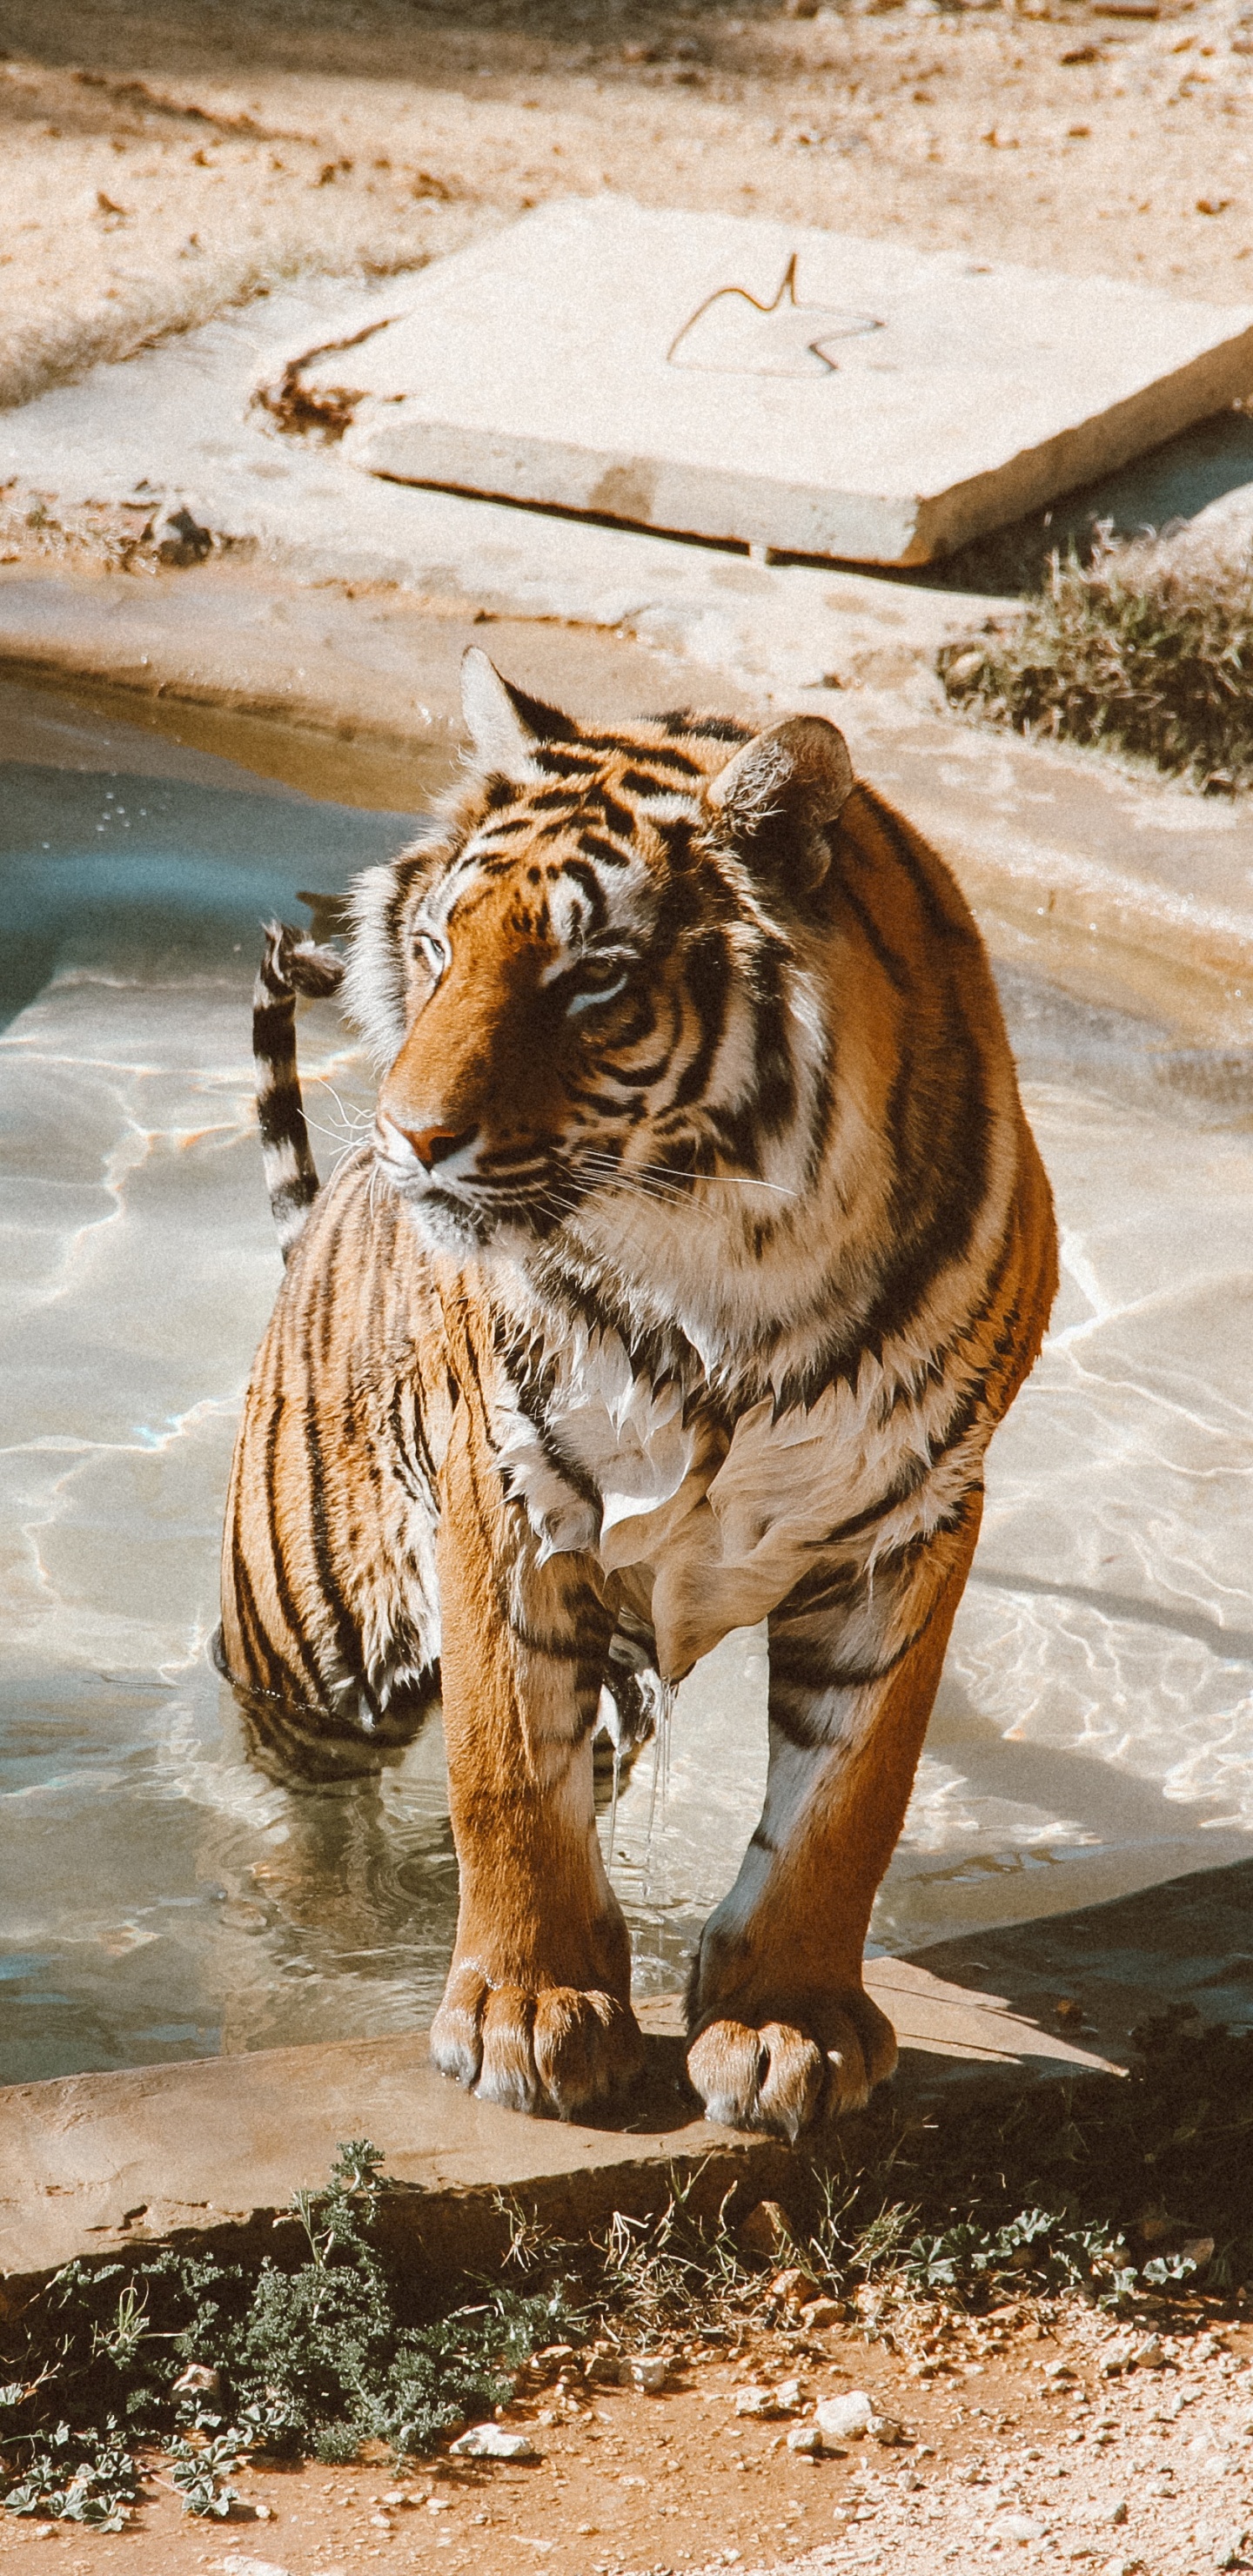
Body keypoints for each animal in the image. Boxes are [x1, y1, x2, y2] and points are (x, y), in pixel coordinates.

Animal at [216, 647, 1058, 2139]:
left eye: (590, 979)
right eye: (438, 948)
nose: (407, 1138)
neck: (730, 1268)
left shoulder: (913, 1521)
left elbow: (850, 1799)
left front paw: (785, 2022)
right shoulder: (503, 1495)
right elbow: (506, 1774)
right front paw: (525, 2013)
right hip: (308, 1643)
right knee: (292, 1804)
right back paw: (312, 1927)